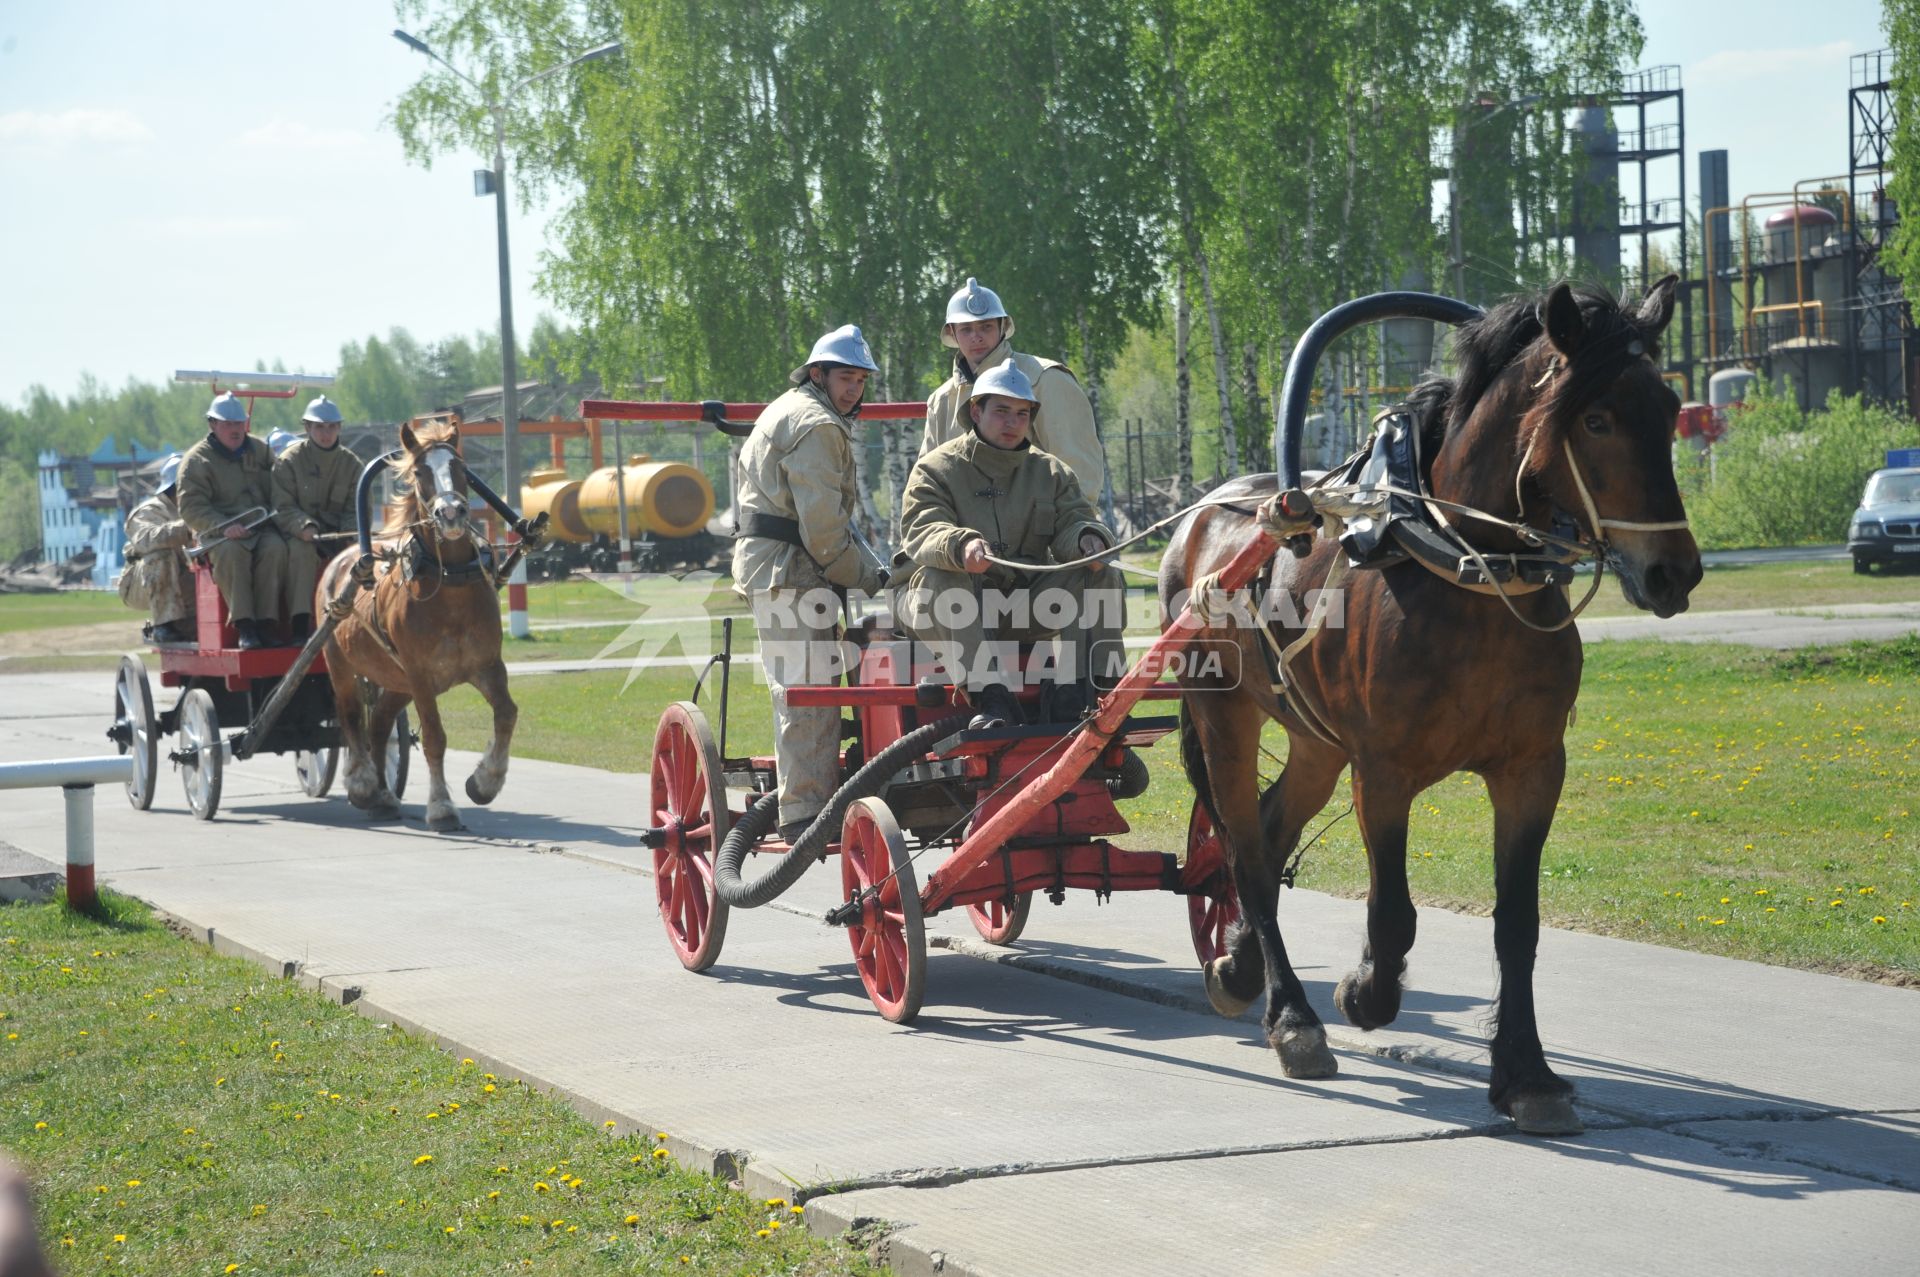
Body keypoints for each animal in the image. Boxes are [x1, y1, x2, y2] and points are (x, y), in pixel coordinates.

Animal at [322, 422, 518, 833]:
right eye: (418, 472)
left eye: (461, 467)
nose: (452, 513)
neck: (451, 585)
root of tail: (342, 559)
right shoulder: (421, 675)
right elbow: (434, 737)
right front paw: (442, 807)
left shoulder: (487, 666)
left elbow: (507, 713)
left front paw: (485, 781)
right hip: (342, 664)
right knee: (351, 717)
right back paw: (362, 783)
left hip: (396, 681)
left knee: (379, 725)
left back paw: (383, 796)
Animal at [1159, 274, 1704, 1129]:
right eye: (1598, 417)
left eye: (1670, 405)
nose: (1673, 571)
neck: (1460, 564)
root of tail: (1204, 514)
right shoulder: (1383, 771)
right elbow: (1394, 911)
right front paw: (1364, 992)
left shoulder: (1532, 768)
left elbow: (1518, 922)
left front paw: (1527, 1072)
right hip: (1225, 717)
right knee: (1243, 849)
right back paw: (1290, 1015)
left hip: (1315, 742)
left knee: (1273, 830)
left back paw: (1241, 961)